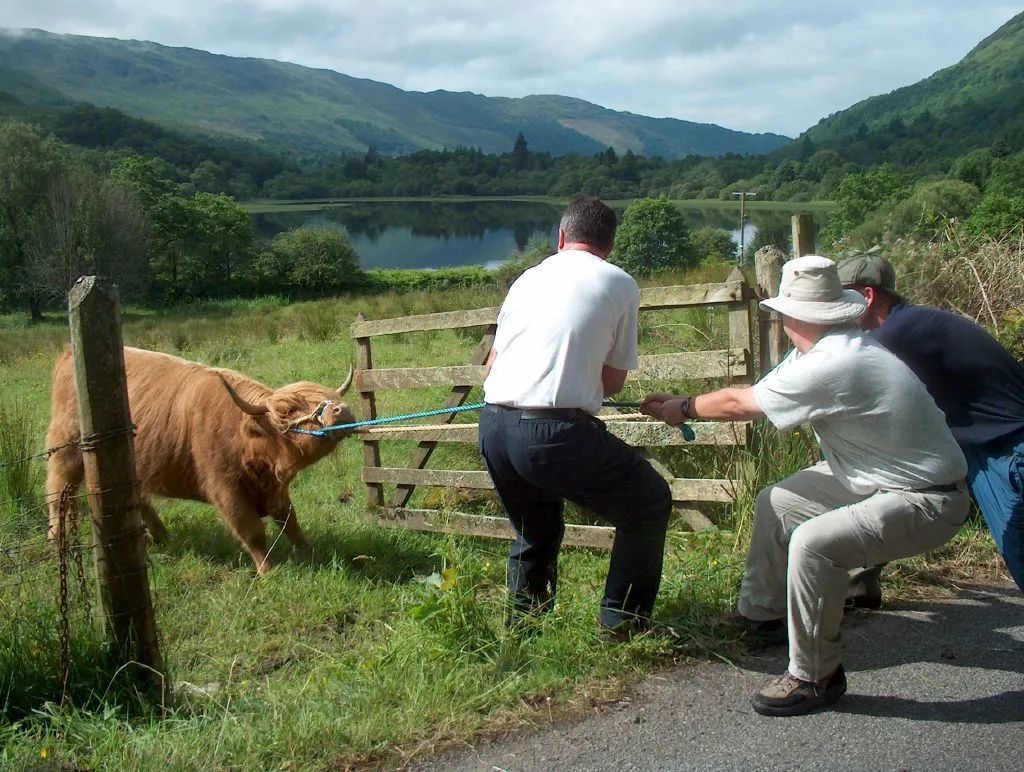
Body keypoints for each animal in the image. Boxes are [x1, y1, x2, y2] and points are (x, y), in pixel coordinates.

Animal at [45, 348, 356, 573]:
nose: (342, 410)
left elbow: (290, 520)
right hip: (67, 451)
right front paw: (268, 572)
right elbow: (252, 531)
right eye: (287, 410)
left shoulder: (274, 488)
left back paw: (161, 536)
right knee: (58, 492)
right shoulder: (225, 488)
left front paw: (309, 551)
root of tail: (67, 355)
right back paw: (55, 541)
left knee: (137, 498)